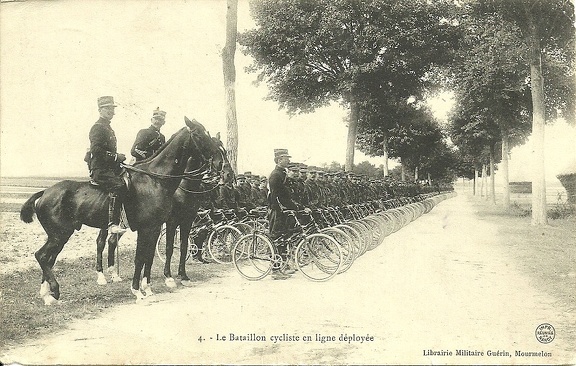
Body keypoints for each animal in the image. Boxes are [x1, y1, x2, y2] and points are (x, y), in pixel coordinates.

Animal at [19, 116, 225, 304]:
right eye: (199, 134)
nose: (219, 164)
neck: (156, 180)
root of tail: (45, 192)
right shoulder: (150, 227)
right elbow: (140, 258)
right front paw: (138, 291)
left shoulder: (157, 227)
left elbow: (150, 257)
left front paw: (148, 288)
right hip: (60, 234)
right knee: (42, 256)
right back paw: (54, 291)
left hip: (59, 235)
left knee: (49, 258)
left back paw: (47, 294)